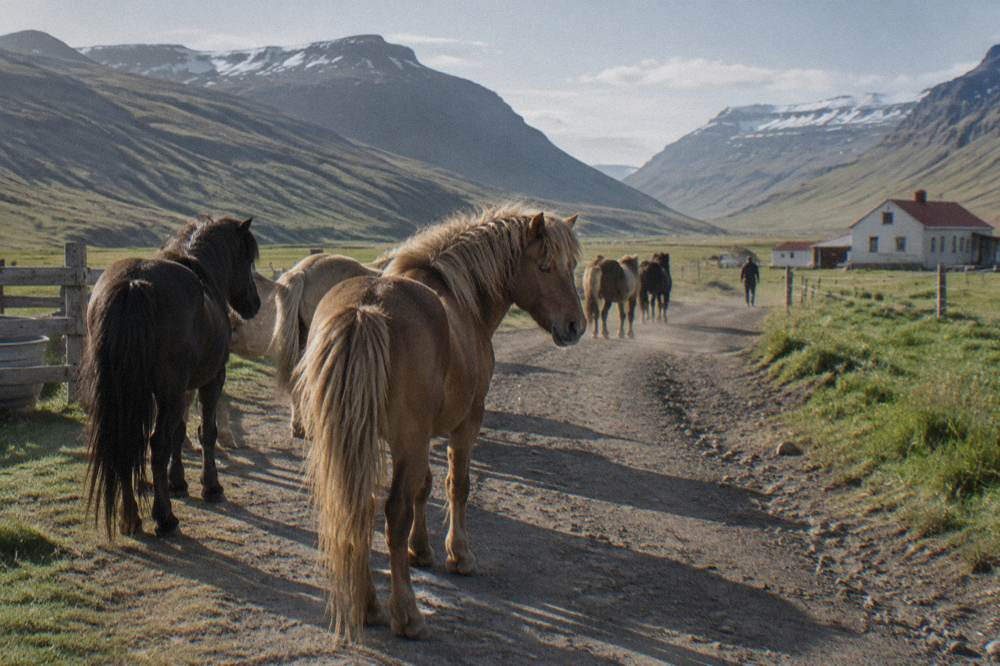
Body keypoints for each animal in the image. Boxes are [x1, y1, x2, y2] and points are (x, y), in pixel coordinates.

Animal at [82, 216, 260, 538]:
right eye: (247, 259)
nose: (255, 303)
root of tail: (133, 284)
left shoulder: (181, 390)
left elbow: (180, 432)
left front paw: (178, 482)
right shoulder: (211, 381)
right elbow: (206, 432)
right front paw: (211, 487)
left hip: (127, 394)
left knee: (129, 444)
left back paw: (131, 517)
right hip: (170, 392)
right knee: (156, 444)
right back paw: (164, 517)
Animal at [292, 207, 583, 641]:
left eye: (572, 266)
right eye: (546, 266)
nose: (575, 325)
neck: (461, 298)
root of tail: (366, 309)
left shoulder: (418, 436)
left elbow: (423, 488)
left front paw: (422, 550)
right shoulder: (465, 423)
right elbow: (456, 486)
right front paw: (458, 554)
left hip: (357, 438)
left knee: (357, 506)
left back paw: (368, 605)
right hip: (406, 438)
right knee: (392, 514)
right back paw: (406, 613)